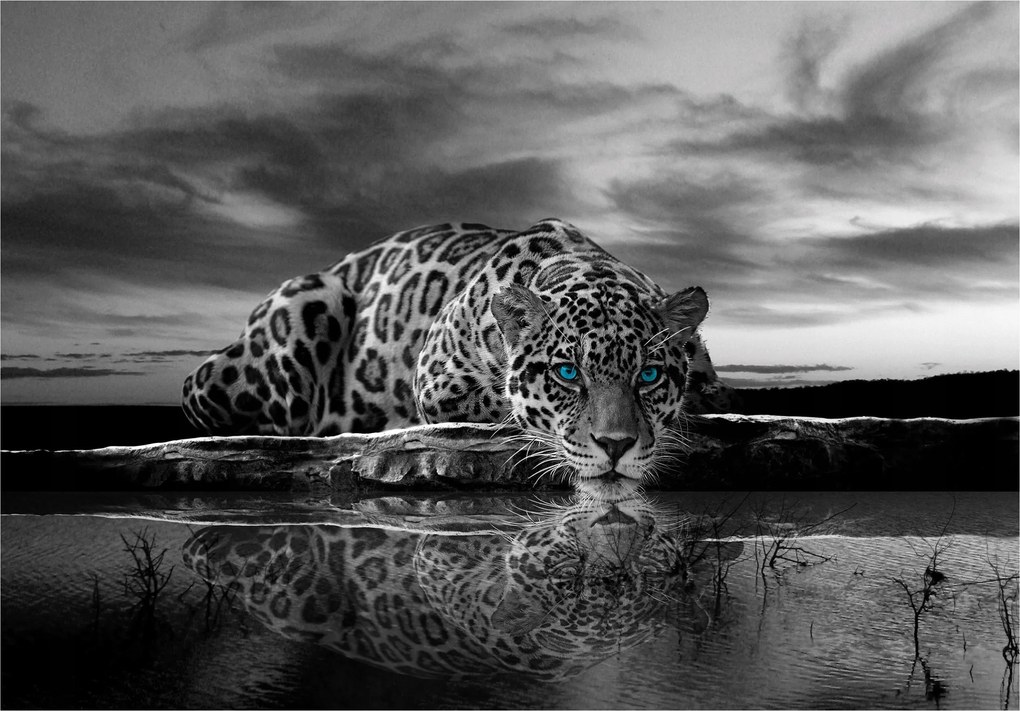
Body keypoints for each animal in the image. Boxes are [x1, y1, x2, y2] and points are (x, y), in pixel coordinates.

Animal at [182, 219, 738, 498]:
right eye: (566, 373)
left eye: (648, 375)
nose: (617, 446)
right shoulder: (437, 381)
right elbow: (507, 408)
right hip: (307, 302)